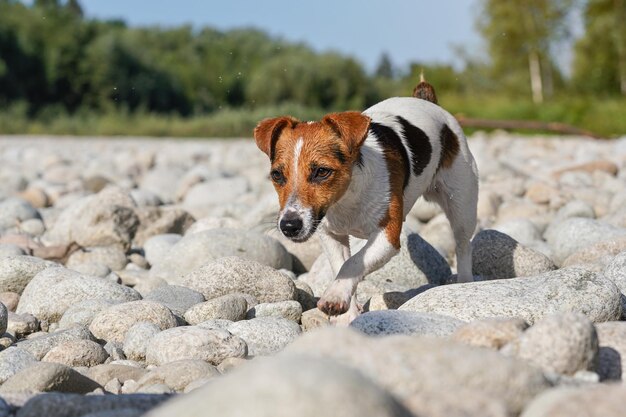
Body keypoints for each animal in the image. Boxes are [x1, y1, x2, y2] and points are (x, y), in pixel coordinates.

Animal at [254, 78, 478, 316]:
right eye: (276, 175)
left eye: (322, 172)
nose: (289, 226)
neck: (347, 197)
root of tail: (426, 101)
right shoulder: (331, 236)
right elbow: (342, 266)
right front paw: (349, 314)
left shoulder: (388, 237)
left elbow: (353, 263)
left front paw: (334, 295)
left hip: (462, 206)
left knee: (463, 245)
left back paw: (464, 282)